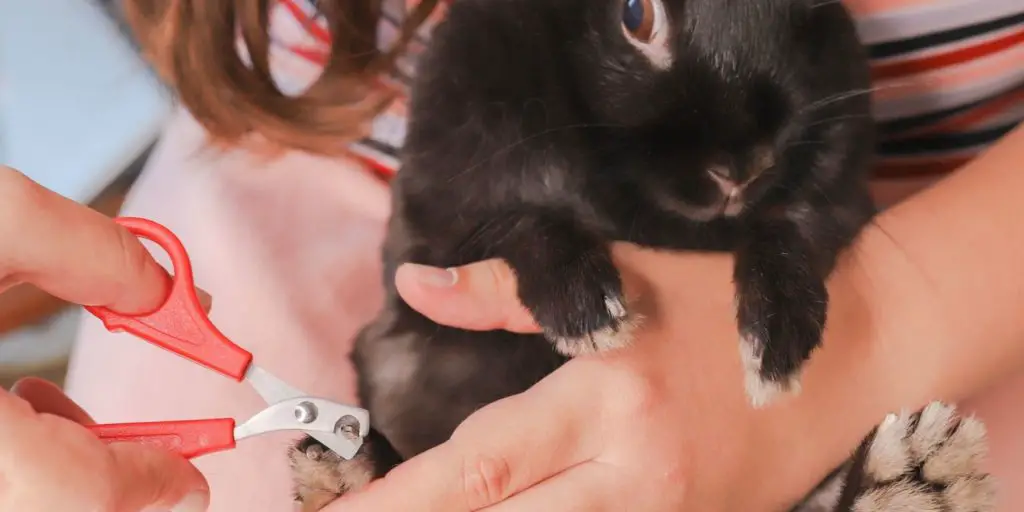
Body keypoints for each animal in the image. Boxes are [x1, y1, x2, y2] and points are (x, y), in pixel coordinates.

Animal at [286, 0, 991, 507]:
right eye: (635, 16)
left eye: (804, 16)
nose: (743, 166)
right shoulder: (440, 239)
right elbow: (522, 222)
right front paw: (590, 312)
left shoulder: (833, 199)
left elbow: (791, 229)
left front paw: (776, 345)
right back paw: (345, 470)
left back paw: (917, 478)